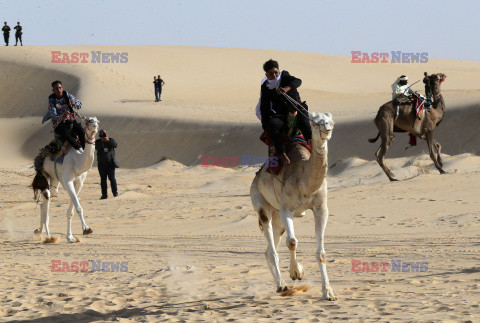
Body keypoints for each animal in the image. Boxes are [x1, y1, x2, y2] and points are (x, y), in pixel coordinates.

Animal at [249, 112, 336, 302]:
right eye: (314, 121)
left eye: (331, 120)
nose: (326, 127)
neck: (304, 181)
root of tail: (256, 177)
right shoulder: (286, 208)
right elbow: (292, 242)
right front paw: (297, 273)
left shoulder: (321, 208)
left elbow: (321, 253)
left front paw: (328, 293)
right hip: (261, 204)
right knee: (272, 247)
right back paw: (282, 285)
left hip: (277, 218)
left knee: (269, 249)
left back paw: (281, 284)